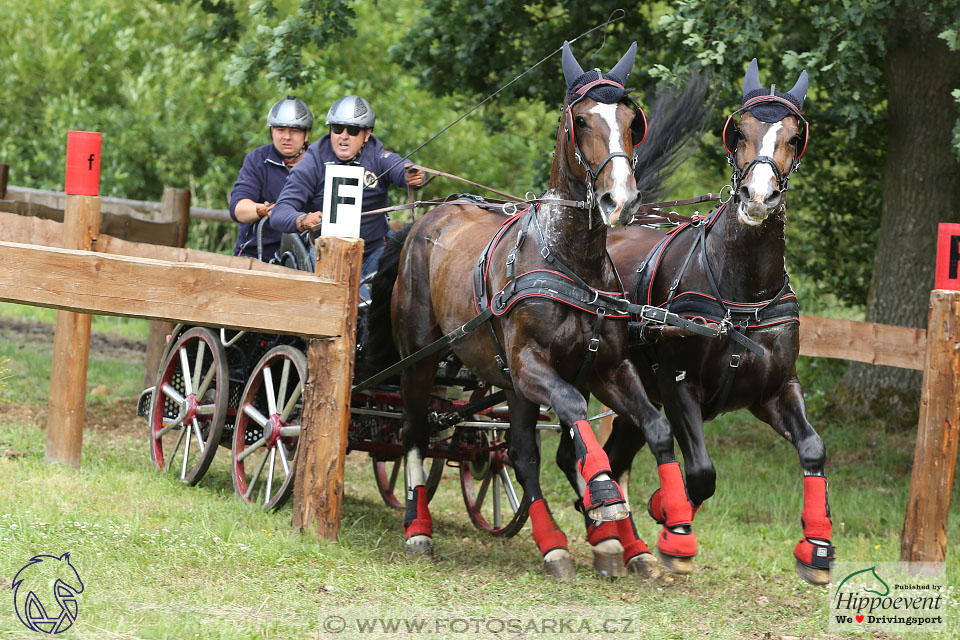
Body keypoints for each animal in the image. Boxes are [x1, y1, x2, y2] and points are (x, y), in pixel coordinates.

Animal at [368, 41, 696, 580]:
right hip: (421, 358)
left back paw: (565, 543)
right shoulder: (532, 366)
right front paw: (603, 495)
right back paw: (418, 527)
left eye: (633, 120)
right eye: (580, 120)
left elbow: (655, 425)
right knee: (414, 433)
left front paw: (669, 530)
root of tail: (425, 220)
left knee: (520, 452)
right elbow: (573, 411)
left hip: (507, 380)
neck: (569, 260)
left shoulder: (606, 368)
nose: (620, 200)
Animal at [600, 60, 832, 584]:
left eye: (795, 137)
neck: (740, 295)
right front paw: (672, 524)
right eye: (738, 131)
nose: (758, 196)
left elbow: (813, 448)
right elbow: (702, 472)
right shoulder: (679, 385)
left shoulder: (774, 389)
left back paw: (623, 545)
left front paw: (817, 547)